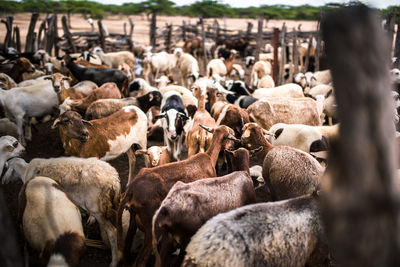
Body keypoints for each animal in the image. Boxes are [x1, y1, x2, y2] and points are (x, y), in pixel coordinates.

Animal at [115, 124, 238, 267]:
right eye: (229, 135)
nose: (233, 146)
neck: (209, 157)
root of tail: (131, 189)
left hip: (134, 218)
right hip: (150, 224)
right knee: (140, 260)